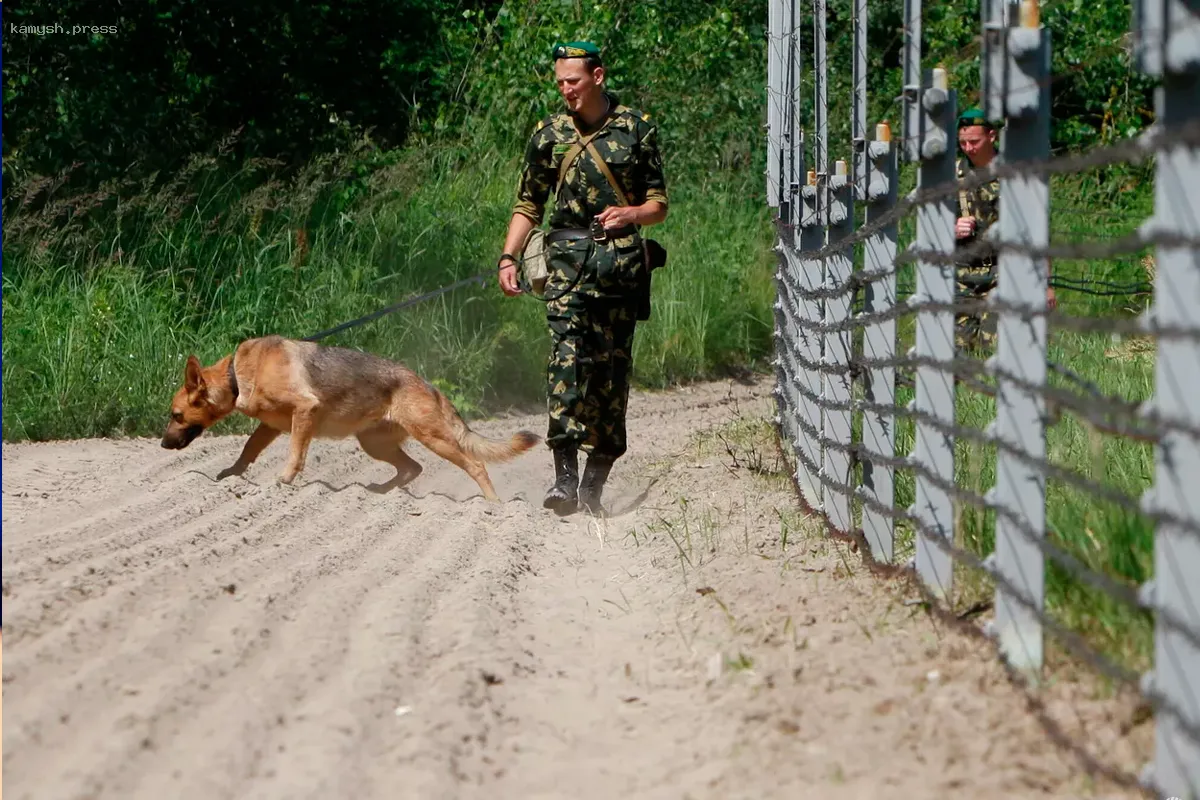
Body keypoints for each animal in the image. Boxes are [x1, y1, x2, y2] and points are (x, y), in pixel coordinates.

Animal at [162, 335, 537, 501]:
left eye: (176, 414)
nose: (163, 444)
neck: (236, 376)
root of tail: (428, 385)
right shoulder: (269, 427)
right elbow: (247, 451)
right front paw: (231, 476)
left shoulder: (304, 412)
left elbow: (295, 454)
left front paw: (284, 480)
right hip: (374, 444)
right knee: (412, 468)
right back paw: (380, 492)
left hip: (434, 439)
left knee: (476, 465)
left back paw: (493, 506)